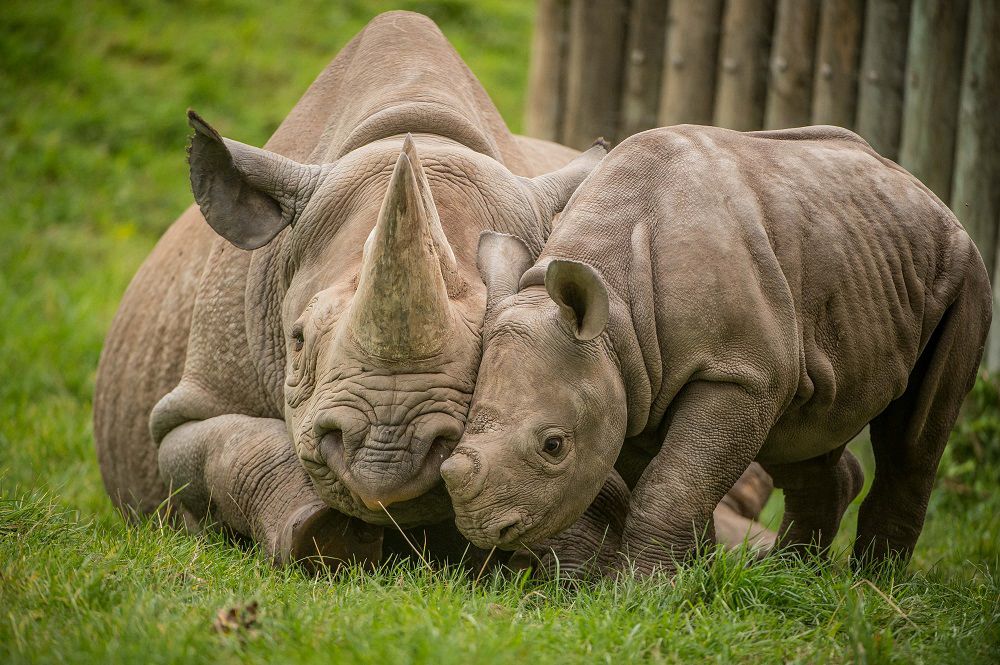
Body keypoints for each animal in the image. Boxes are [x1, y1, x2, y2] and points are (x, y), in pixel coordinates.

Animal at [441, 125, 992, 574]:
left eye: (554, 446)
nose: (481, 527)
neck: (615, 314)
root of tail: (929, 195)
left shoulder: (739, 374)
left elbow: (670, 487)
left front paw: (640, 589)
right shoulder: (634, 385)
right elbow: (669, 485)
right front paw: (684, 579)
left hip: (964, 272)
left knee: (913, 441)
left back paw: (873, 586)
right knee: (802, 426)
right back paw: (791, 575)